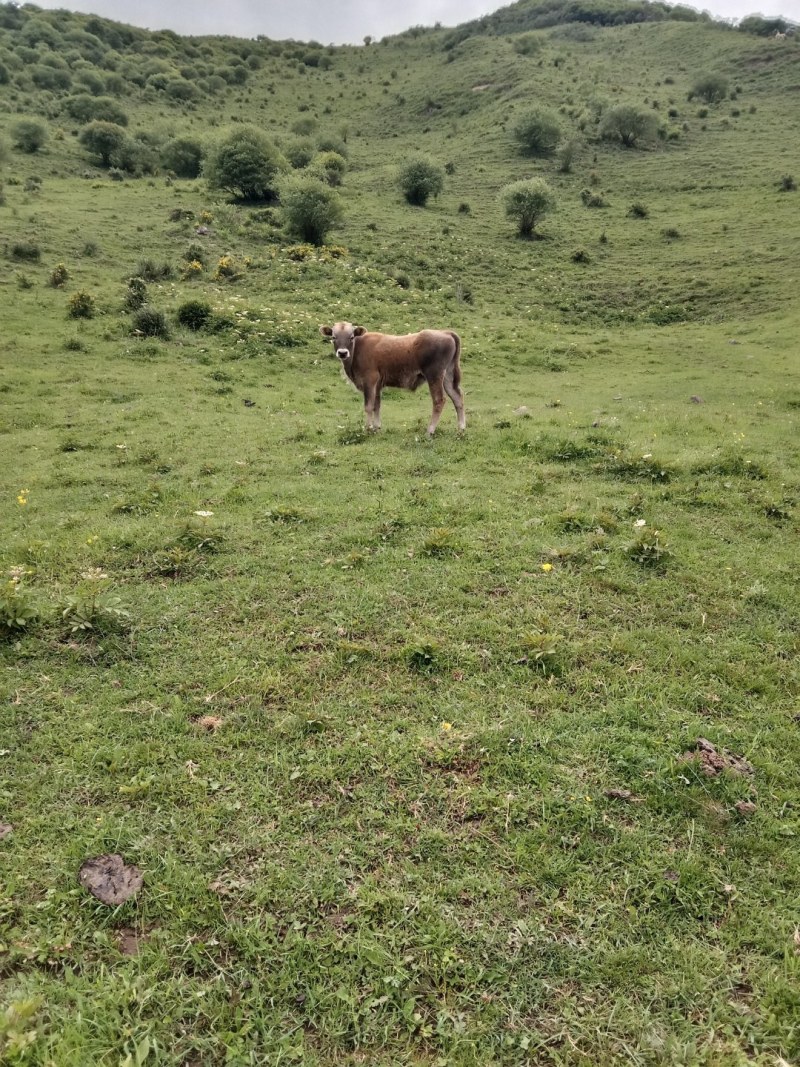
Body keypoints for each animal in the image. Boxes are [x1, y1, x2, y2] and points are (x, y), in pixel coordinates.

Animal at [317, 320, 467, 433]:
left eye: (351, 337)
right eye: (333, 337)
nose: (342, 353)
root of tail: (445, 332)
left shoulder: (369, 381)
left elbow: (368, 406)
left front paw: (367, 429)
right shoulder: (377, 385)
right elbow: (377, 405)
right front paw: (376, 427)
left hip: (434, 375)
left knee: (439, 400)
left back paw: (430, 431)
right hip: (448, 375)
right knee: (457, 397)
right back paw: (461, 429)